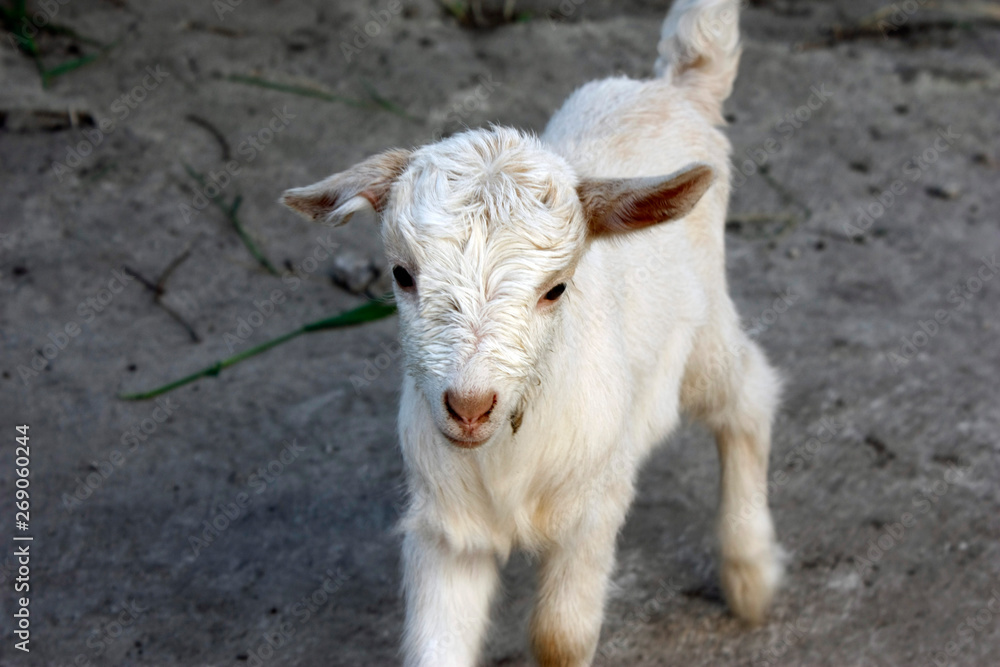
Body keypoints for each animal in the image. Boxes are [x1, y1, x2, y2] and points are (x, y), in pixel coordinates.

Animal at [281, 0, 783, 664]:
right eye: (401, 274)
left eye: (556, 289)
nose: (469, 407)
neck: (508, 451)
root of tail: (676, 86)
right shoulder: (448, 529)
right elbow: (436, 646)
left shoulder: (593, 509)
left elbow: (559, 637)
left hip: (701, 339)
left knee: (749, 394)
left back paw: (750, 573)